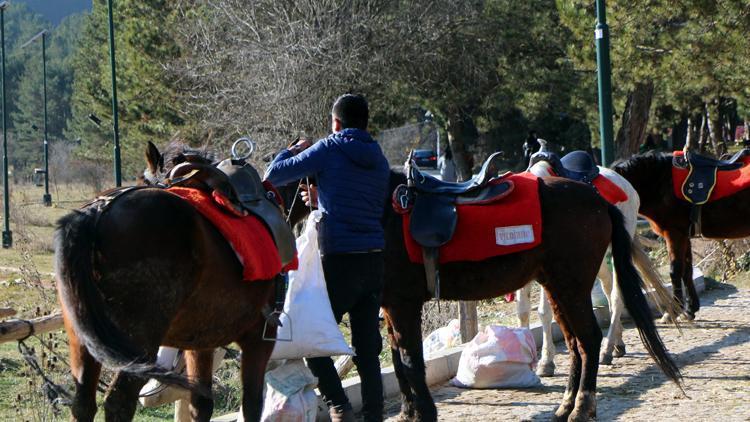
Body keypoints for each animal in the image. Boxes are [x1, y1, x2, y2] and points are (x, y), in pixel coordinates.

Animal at [56, 143, 280, 422]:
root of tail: (96, 212)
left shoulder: (201, 344)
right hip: (139, 346)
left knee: (83, 402)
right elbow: (251, 405)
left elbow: (201, 403)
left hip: (82, 340)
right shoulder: (260, 340)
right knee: (119, 401)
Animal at [284, 171, 684, 422]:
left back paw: (582, 407)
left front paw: (424, 413)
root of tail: (599, 200)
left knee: (588, 340)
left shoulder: (401, 305)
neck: (379, 211)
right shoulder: (389, 308)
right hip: (557, 288)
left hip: (570, 287)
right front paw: (409, 412)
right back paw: (566, 405)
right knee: (575, 345)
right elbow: (398, 361)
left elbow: (410, 361)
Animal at [612, 152, 750, 320]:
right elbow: (687, 270)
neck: (661, 183)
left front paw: (674, 311)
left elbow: (675, 270)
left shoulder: (674, 234)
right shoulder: (685, 236)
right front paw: (690, 309)